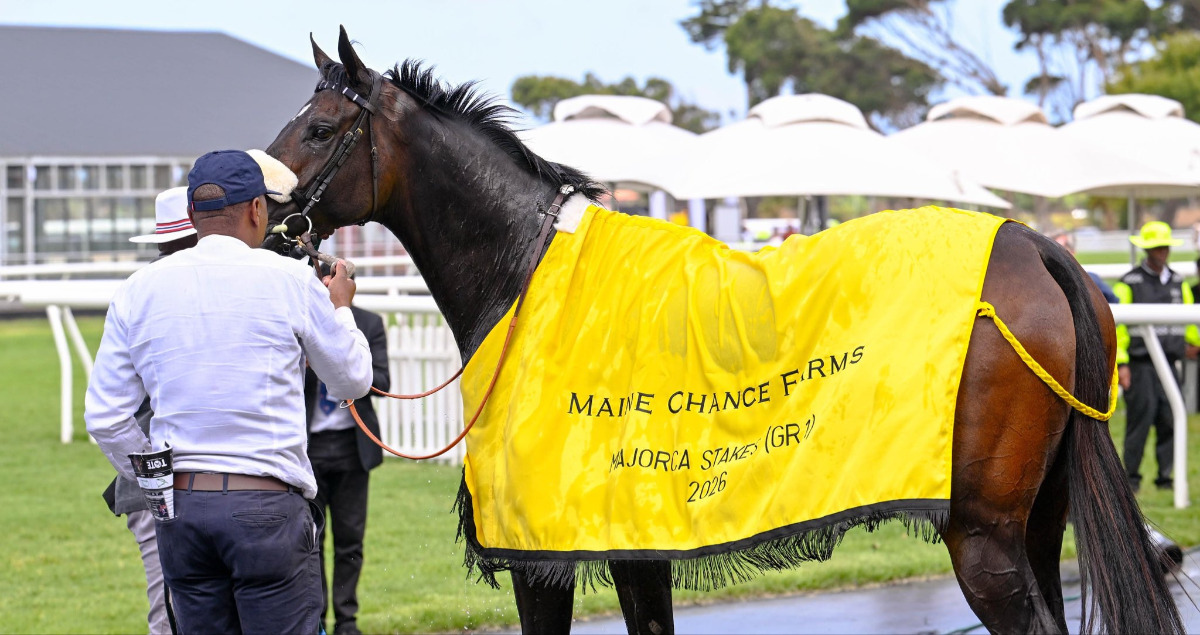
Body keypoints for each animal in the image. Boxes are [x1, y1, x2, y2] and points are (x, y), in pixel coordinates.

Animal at [261, 28, 1183, 635]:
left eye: (319, 128)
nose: (262, 219)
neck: (527, 275)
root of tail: (1035, 245)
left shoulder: (540, 551)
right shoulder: (633, 549)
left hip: (982, 532)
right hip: (1038, 517)